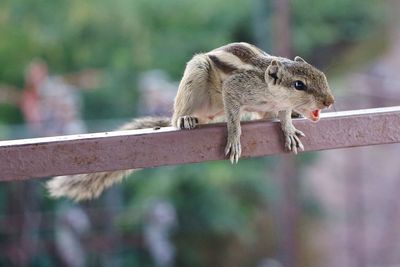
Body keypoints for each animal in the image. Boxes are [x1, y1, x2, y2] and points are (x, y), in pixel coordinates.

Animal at [47, 42, 334, 201]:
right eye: (299, 85)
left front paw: (289, 128)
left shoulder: (278, 104)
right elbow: (234, 119)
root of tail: (206, 115)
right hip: (195, 76)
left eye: (322, 75)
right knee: (179, 117)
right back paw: (185, 118)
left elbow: (283, 114)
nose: (330, 101)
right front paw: (234, 137)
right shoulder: (234, 89)